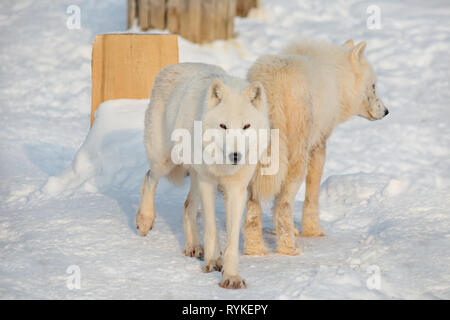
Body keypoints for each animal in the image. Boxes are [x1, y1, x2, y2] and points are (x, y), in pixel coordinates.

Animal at [135, 63, 268, 290]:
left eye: (246, 126)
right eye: (223, 126)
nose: (235, 155)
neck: (223, 166)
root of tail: (169, 68)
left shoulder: (236, 189)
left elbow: (232, 238)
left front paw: (230, 275)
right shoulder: (208, 183)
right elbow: (212, 227)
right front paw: (213, 261)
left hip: (194, 176)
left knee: (187, 206)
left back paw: (194, 246)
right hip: (166, 161)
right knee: (149, 177)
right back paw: (145, 220)